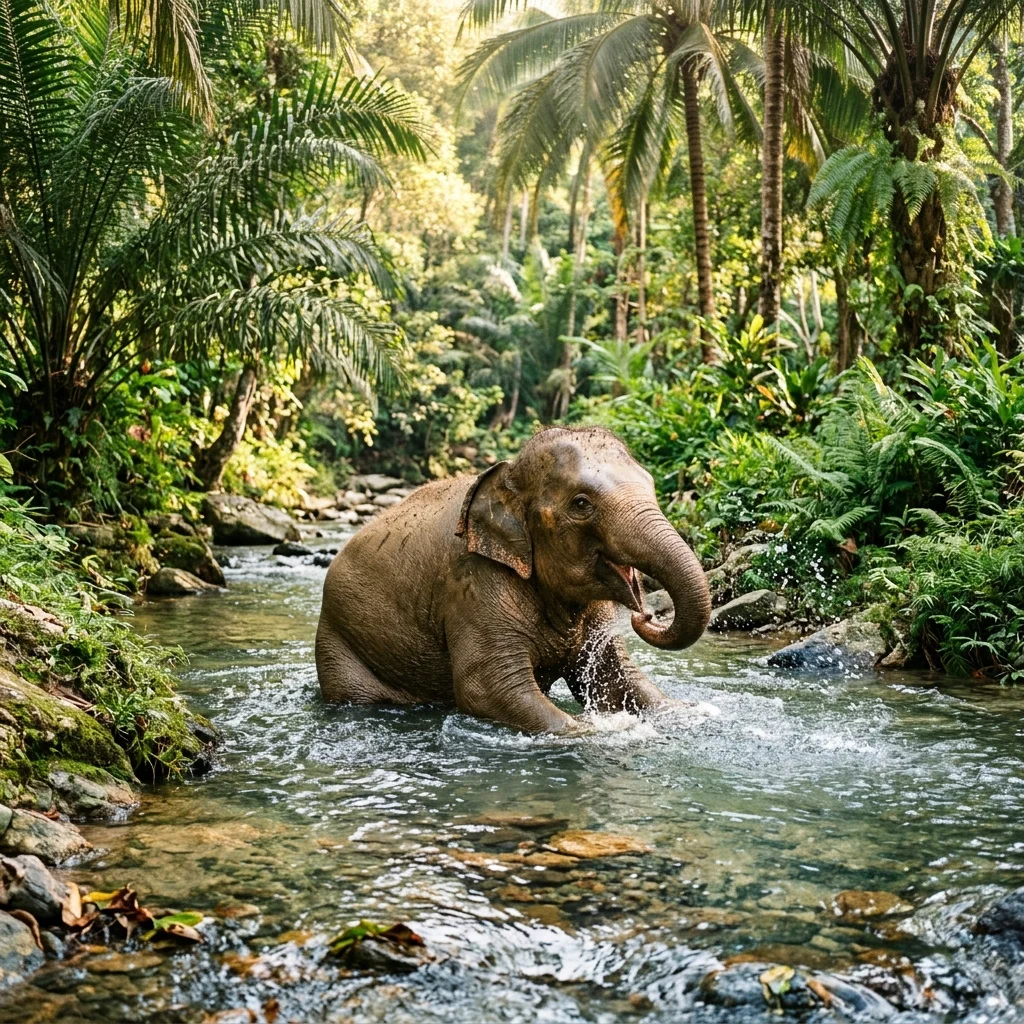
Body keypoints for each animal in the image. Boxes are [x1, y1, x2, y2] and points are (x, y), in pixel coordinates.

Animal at [315, 426, 711, 733]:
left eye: (651, 485)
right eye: (581, 504)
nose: (645, 615)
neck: (506, 478)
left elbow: (614, 679)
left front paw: (692, 713)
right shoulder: (472, 583)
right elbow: (486, 689)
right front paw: (599, 732)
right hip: (338, 641)